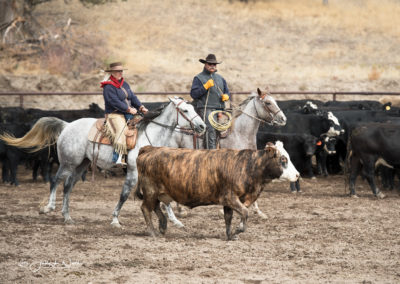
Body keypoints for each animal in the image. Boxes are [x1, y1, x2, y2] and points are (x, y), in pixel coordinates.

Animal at [0, 96, 205, 225]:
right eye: (185, 110)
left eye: (194, 108)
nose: (202, 126)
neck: (150, 136)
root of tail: (67, 125)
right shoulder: (133, 172)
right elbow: (124, 195)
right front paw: (114, 219)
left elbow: (165, 199)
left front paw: (176, 221)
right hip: (68, 162)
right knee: (55, 180)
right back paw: (48, 208)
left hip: (81, 165)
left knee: (68, 186)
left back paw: (67, 217)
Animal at [136, 142, 298, 240]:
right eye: (283, 159)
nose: (297, 175)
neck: (248, 166)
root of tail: (150, 149)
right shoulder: (229, 197)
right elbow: (245, 213)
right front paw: (238, 229)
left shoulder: (229, 202)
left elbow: (228, 218)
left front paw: (230, 235)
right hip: (150, 191)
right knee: (145, 208)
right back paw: (152, 232)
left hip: (158, 193)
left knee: (156, 207)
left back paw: (163, 226)